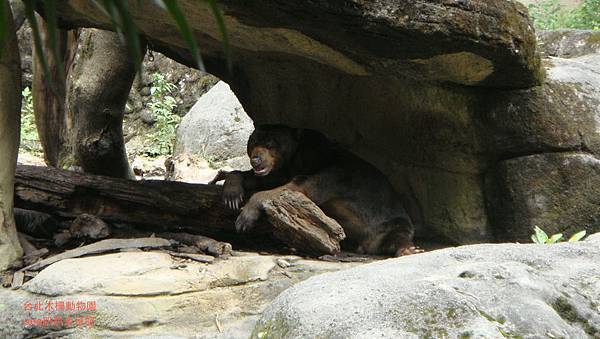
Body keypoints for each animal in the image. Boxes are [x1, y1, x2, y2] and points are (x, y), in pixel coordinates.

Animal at [216, 126, 418, 256]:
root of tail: (368, 246)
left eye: (270, 143)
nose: (256, 159)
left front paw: (244, 218)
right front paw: (232, 194)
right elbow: (266, 179)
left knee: (399, 234)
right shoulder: (285, 168)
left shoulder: (331, 172)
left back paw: (407, 249)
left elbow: (294, 188)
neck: (296, 156)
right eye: (253, 143)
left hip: (390, 224)